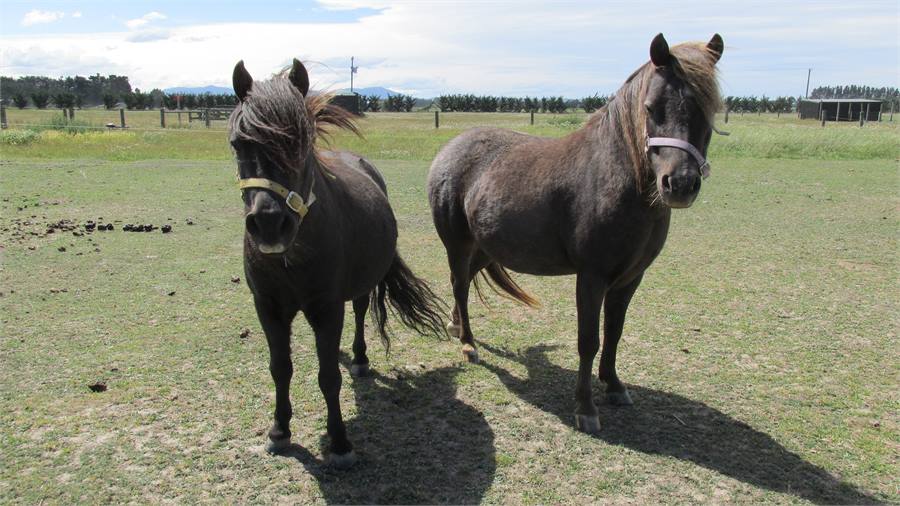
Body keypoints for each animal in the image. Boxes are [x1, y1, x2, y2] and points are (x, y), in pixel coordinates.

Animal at [229, 59, 445, 467]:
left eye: (302, 140)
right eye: (237, 143)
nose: (269, 223)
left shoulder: (327, 309)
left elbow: (328, 377)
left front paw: (340, 441)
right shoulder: (267, 306)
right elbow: (280, 369)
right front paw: (279, 430)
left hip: (359, 288)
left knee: (359, 314)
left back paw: (359, 359)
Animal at [427, 33, 724, 434]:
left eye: (709, 107)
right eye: (651, 107)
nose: (679, 184)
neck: (616, 178)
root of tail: (449, 150)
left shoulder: (630, 278)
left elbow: (614, 332)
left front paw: (613, 385)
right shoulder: (591, 277)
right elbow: (589, 340)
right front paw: (585, 407)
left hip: (486, 247)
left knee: (465, 283)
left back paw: (456, 324)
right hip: (458, 243)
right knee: (460, 283)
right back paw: (468, 343)